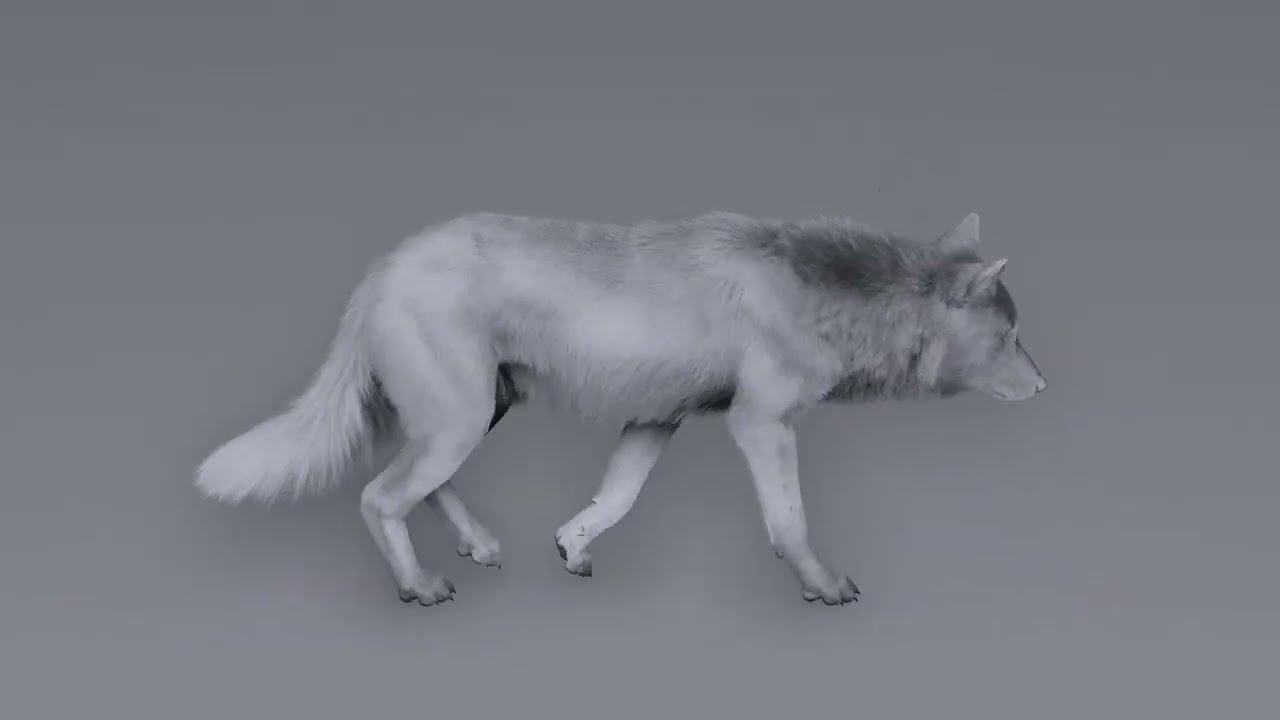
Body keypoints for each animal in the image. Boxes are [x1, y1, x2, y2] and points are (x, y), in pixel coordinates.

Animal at [195, 210, 1046, 607]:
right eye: (1012, 336)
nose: (1045, 387)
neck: (824, 292)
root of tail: (378, 269)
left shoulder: (658, 420)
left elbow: (615, 498)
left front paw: (570, 549)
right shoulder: (760, 427)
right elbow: (790, 523)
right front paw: (822, 585)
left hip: (472, 417)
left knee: (422, 488)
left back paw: (479, 545)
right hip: (460, 424)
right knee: (379, 497)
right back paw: (420, 587)